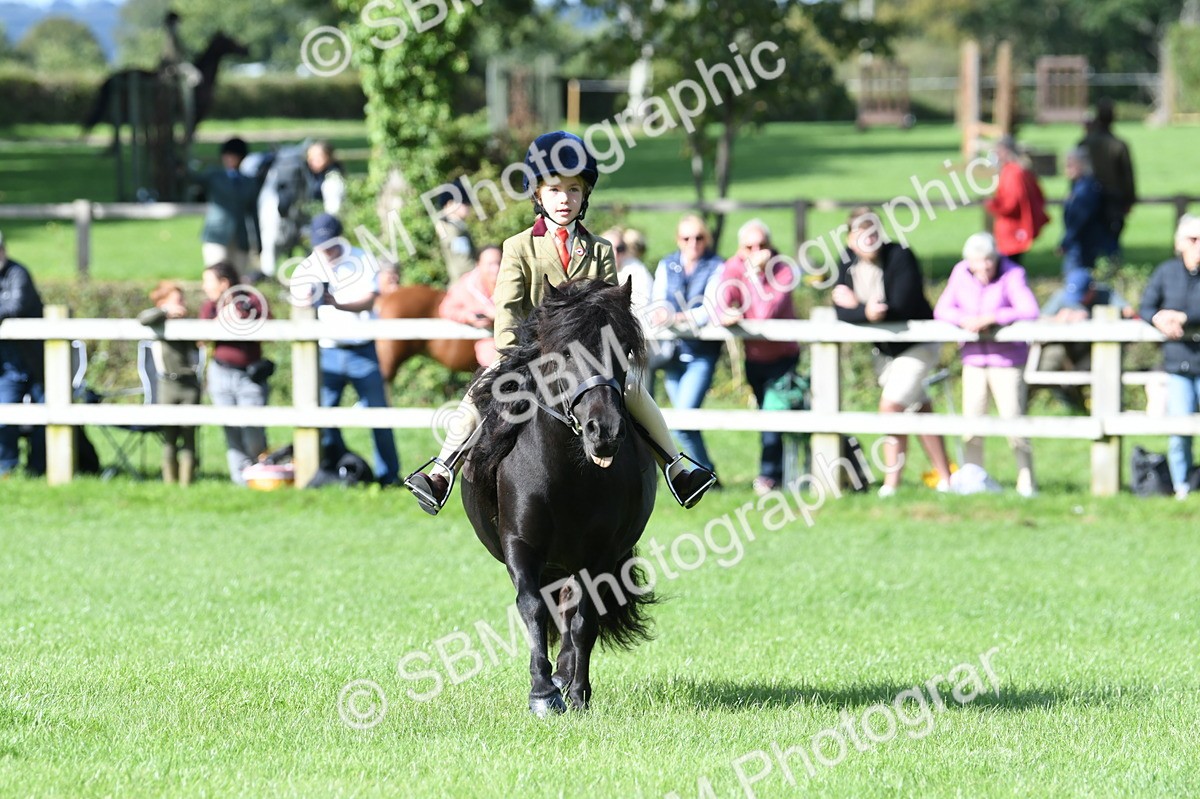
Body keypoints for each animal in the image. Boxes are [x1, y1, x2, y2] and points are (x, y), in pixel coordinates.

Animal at [82, 31, 249, 151]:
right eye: (229, 39)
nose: (245, 49)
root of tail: (114, 76)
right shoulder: (199, 110)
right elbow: (191, 132)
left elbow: (190, 132)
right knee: (118, 122)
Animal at [460, 278, 658, 716]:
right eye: (564, 351)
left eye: (622, 347)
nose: (604, 430)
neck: (570, 474)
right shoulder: (520, 546)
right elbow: (532, 608)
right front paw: (542, 693)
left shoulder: (600, 556)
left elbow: (585, 620)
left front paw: (578, 693)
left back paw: (567, 674)